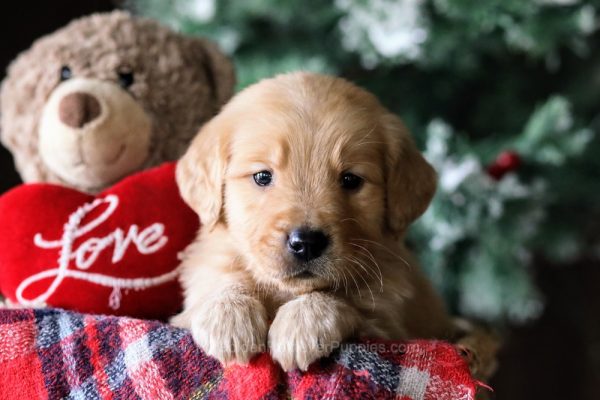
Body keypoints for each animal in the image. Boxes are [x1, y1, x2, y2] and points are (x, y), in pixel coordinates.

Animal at [171, 72, 458, 372]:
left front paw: (303, 323)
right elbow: (219, 278)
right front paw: (228, 316)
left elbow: (347, 301)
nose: (307, 243)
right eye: (262, 176)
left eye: (350, 179)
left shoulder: (388, 320)